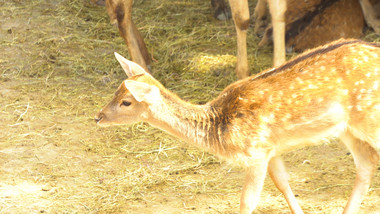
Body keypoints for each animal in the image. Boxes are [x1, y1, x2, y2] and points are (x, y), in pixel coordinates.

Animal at [94, 38, 378, 214]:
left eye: (126, 101)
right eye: (115, 91)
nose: (98, 117)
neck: (219, 127)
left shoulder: (255, 152)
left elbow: (247, 202)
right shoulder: (270, 148)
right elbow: (283, 183)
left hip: (369, 120)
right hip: (348, 129)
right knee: (365, 168)